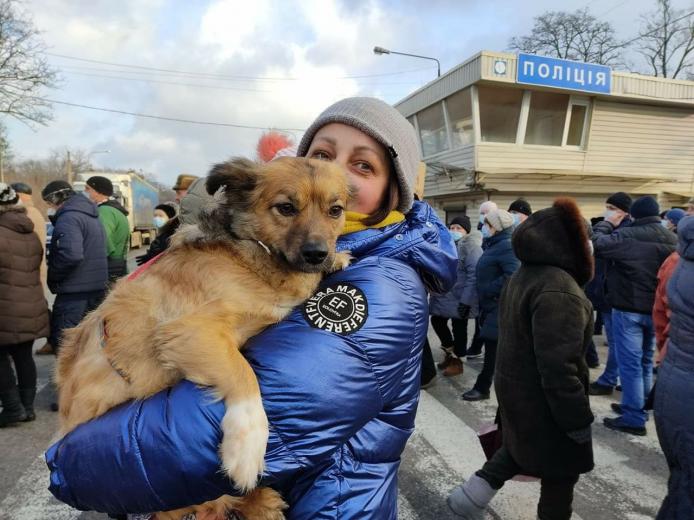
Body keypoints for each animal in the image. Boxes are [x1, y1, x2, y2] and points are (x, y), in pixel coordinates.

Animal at [55, 155, 354, 520]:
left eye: (335, 210)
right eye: (285, 207)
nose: (317, 254)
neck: (254, 255)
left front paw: (337, 258)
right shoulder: (190, 329)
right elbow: (243, 373)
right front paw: (247, 444)